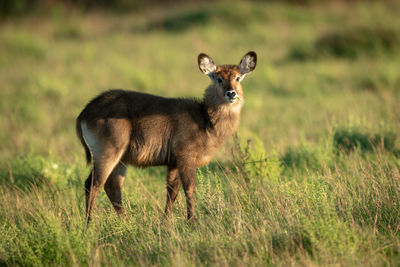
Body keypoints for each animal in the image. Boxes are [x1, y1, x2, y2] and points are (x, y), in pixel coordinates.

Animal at [76, 51, 256, 223]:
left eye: (237, 77)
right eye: (219, 79)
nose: (231, 93)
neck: (206, 121)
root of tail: (84, 112)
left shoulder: (173, 162)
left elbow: (172, 192)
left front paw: (165, 222)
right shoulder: (185, 156)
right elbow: (189, 189)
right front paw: (192, 222)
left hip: (121, 159)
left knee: (112, 186)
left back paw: (127, 222)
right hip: (107, 151)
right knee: (93, 184)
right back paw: (89, 225)